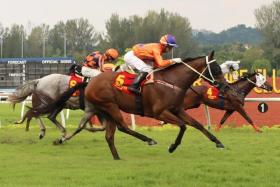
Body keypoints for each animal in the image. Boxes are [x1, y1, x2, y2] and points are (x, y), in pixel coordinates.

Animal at [57, 50, 243, 159]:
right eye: (216, 69)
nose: (226, 87)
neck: (172, 81)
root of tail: (90, 82)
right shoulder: (159, 112)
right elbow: (183, 126)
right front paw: (172, 146)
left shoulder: (178, 109)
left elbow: (197, 124)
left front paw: (218, 142)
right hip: (110, 105)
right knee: (123, 127)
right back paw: (149, 140)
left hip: (104, 110)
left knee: (108, 135)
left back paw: (117, 158)